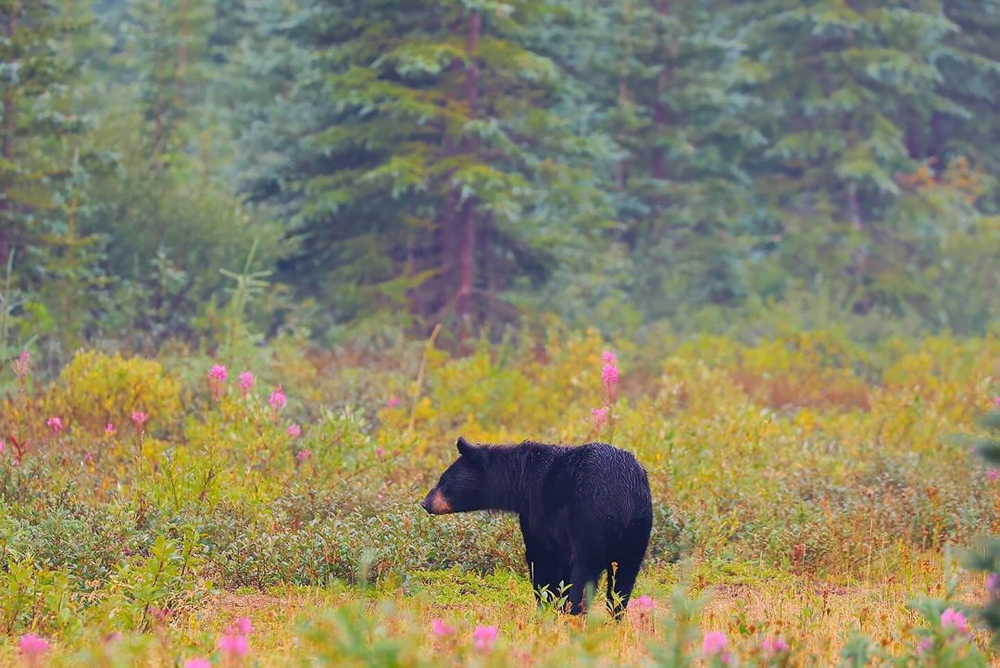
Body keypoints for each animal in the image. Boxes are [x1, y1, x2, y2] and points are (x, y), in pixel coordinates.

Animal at [418, 436, 652, 620]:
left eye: (443, 480)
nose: (425, 503)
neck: (519, 480)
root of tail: (625, 497)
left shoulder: (538, 513)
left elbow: (542, 560)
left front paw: (547, 608)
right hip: (638, 530)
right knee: (625, 578)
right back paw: (615, 616)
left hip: (591, 520)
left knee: (585, 570)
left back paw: (575, 614)